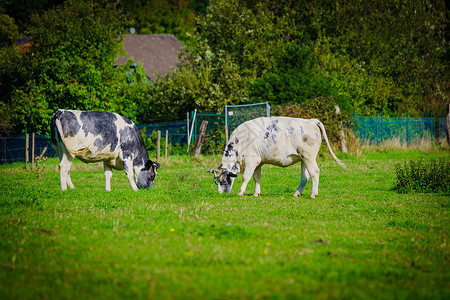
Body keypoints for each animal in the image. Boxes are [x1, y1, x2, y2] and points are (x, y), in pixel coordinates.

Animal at [209, 116, 346, 198]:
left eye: (223, 180)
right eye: (215, 181)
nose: (222, 194)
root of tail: (311, 120)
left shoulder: (251, 159)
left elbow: (246, 177)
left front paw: (241, 192)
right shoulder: (258, 162)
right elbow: (256, 177)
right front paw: (256, 193)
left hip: (309, 157)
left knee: (315, 172)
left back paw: (313, 194)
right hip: (303, 159)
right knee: (305, 177)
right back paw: (297, 193)